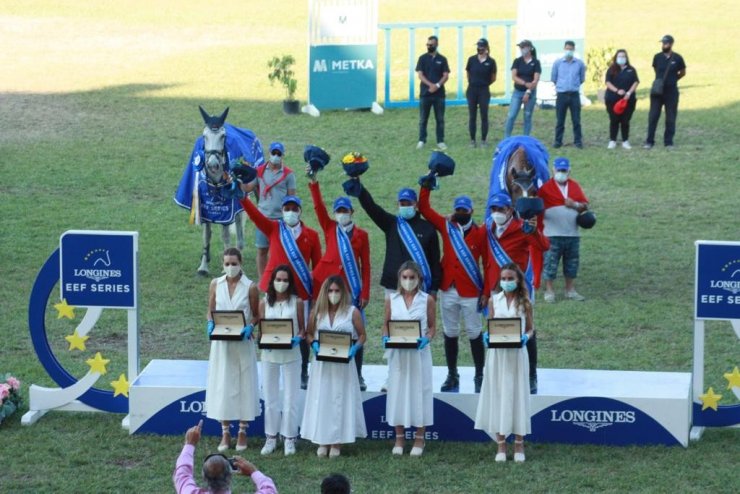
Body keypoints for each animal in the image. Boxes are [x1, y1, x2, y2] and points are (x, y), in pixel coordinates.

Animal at [174, 106, 264, 276]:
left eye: (223, 136)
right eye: (204, 136)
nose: (213, 164)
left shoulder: (227, 210)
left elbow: (225, 236)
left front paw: (226, 266)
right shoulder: (204, 209)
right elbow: (206, 236)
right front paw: (203, 266)